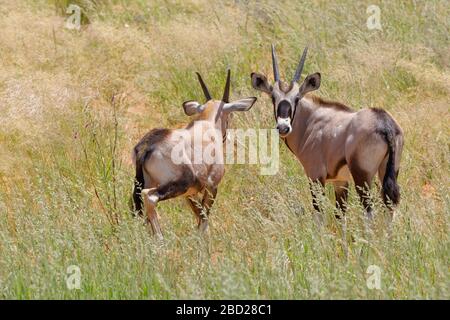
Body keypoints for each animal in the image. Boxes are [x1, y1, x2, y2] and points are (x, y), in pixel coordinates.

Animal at [132, 70, 255, 236]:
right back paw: (160, 238)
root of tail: (147, 146)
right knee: (150, 197)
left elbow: (199, 214)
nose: (227, 137)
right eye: (230, 115)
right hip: (178, 184)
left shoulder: (190, 194)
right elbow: (204, 218)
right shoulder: (212, 186)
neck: (207, 125)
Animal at [251, 45, 402, 220]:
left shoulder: (315, 176)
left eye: (297, 98)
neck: (311, 120)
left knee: (369, 212)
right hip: (388, 171)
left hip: (362, 177)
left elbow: (319, 214)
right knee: (390, 208)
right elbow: (340, 215)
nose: (283, 127)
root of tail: (385, 124)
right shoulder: (340, 181)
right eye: (273, 98)